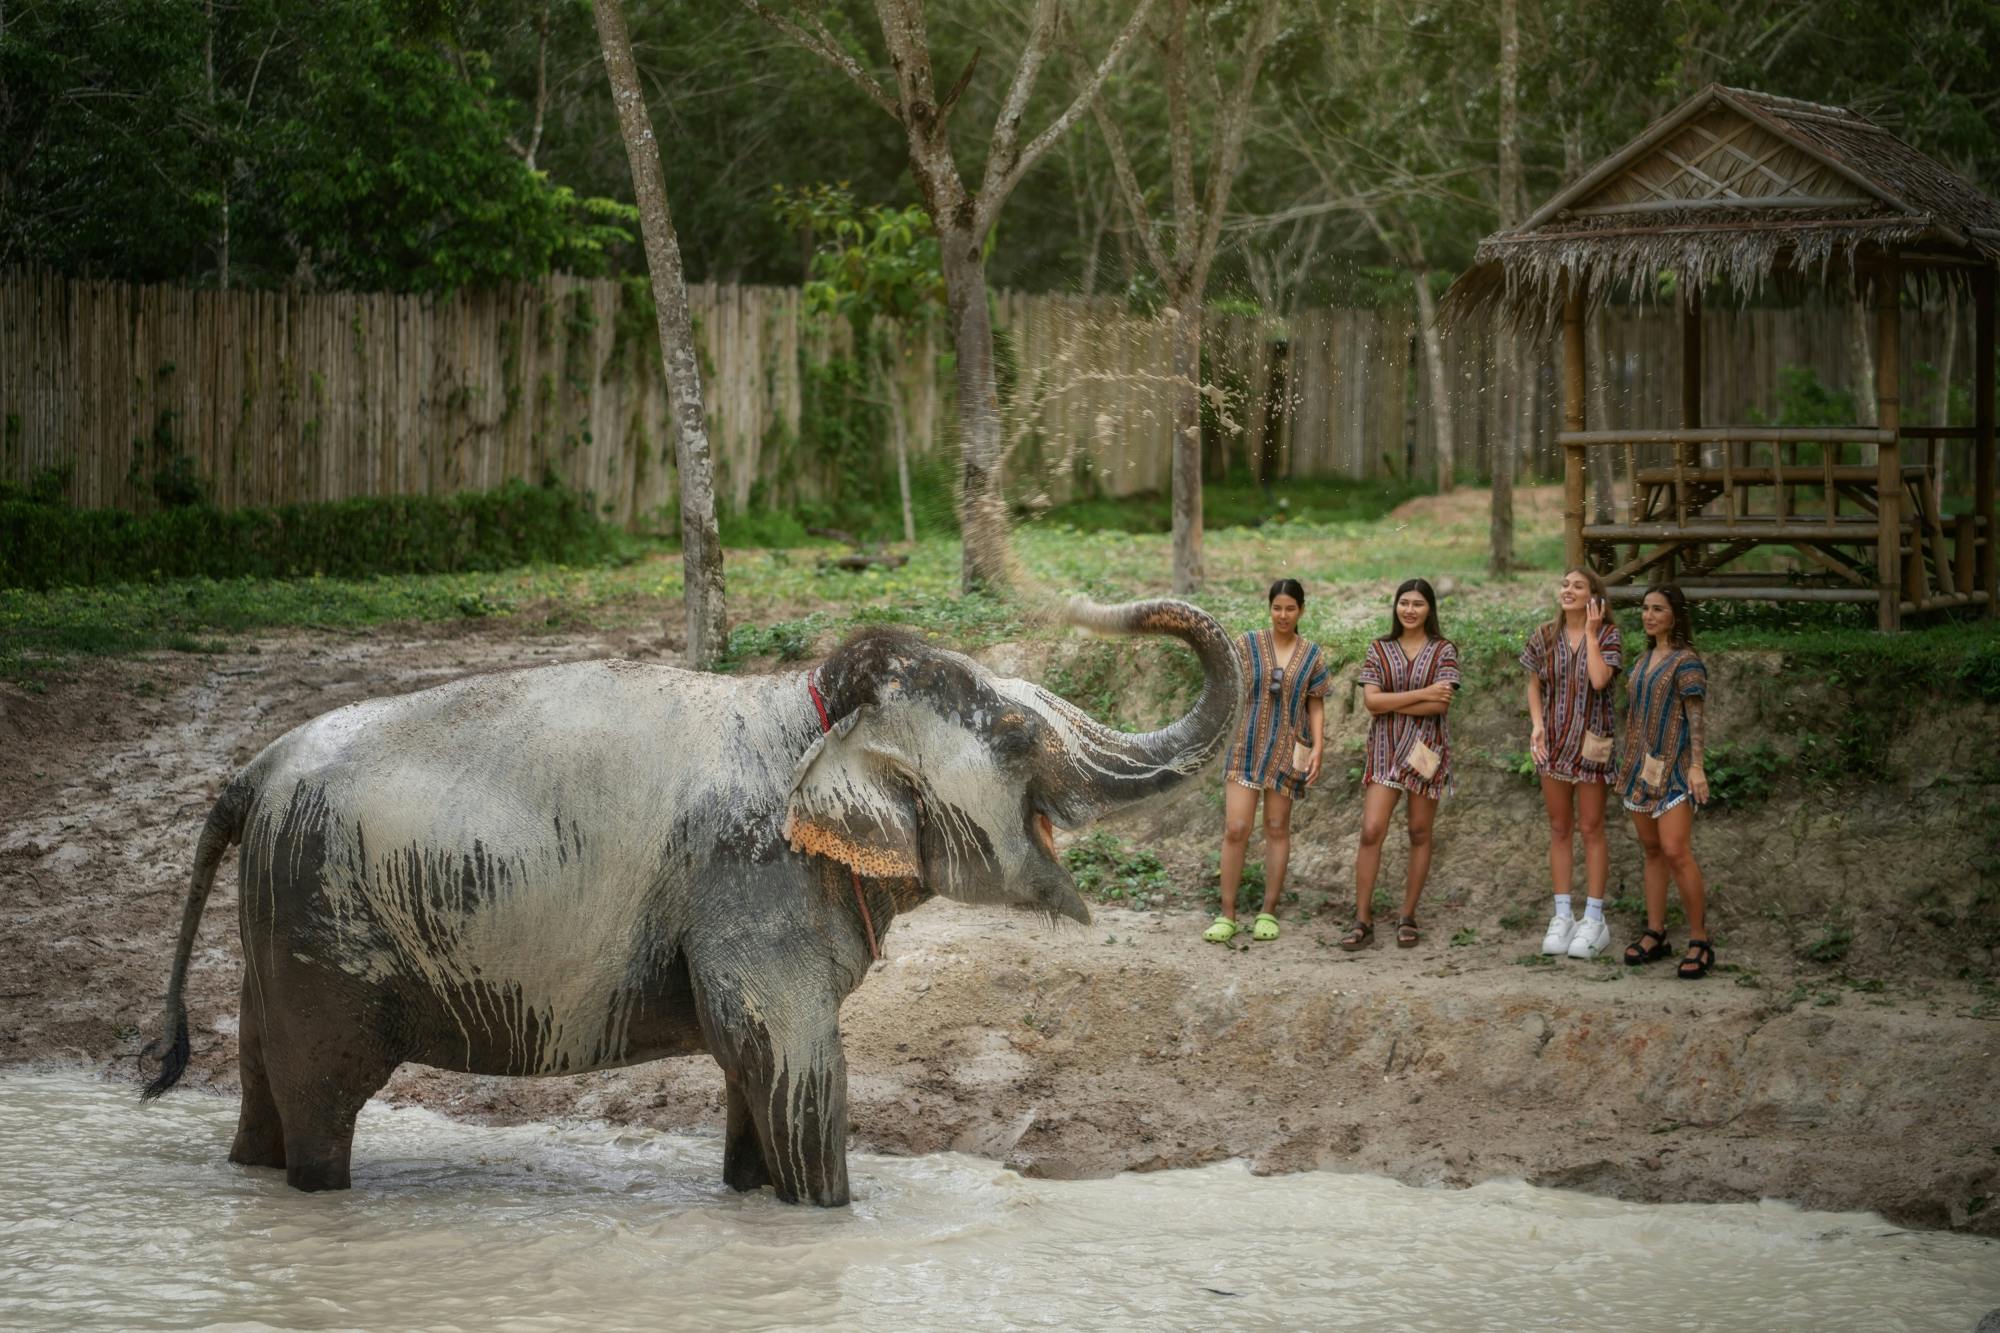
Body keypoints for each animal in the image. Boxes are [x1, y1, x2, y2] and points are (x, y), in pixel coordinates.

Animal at [140, 597, 1240, 1204]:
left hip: (279, 922)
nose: (1096, 606)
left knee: (260, 1097)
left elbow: (753, 1074)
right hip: (325, 923)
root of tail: (249, 771)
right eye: (1014, 735)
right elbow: (795, 1067)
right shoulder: (751, 878)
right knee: (322, 1103)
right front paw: (828, 1215)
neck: (805, 709)